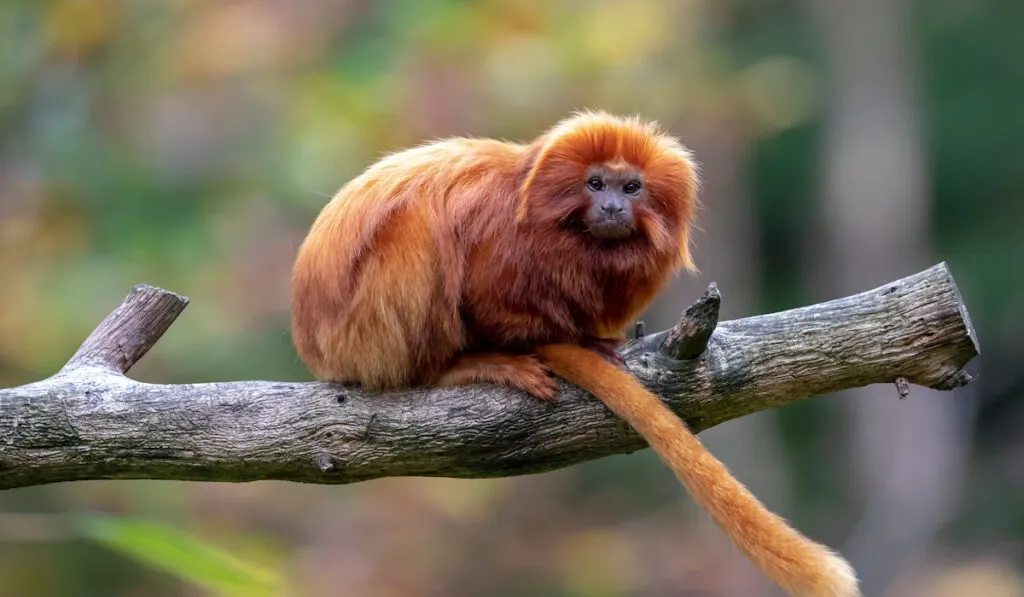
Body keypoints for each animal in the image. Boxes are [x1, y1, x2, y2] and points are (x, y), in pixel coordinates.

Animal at [292, 111, 860, 597]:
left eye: (631, 188)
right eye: (595, 185)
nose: (612, 208)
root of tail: (316, 343)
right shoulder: (501, 235)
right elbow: (488, 295)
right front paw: (534, 347)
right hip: (366, 336)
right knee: (418, 230)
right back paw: (456, 367)